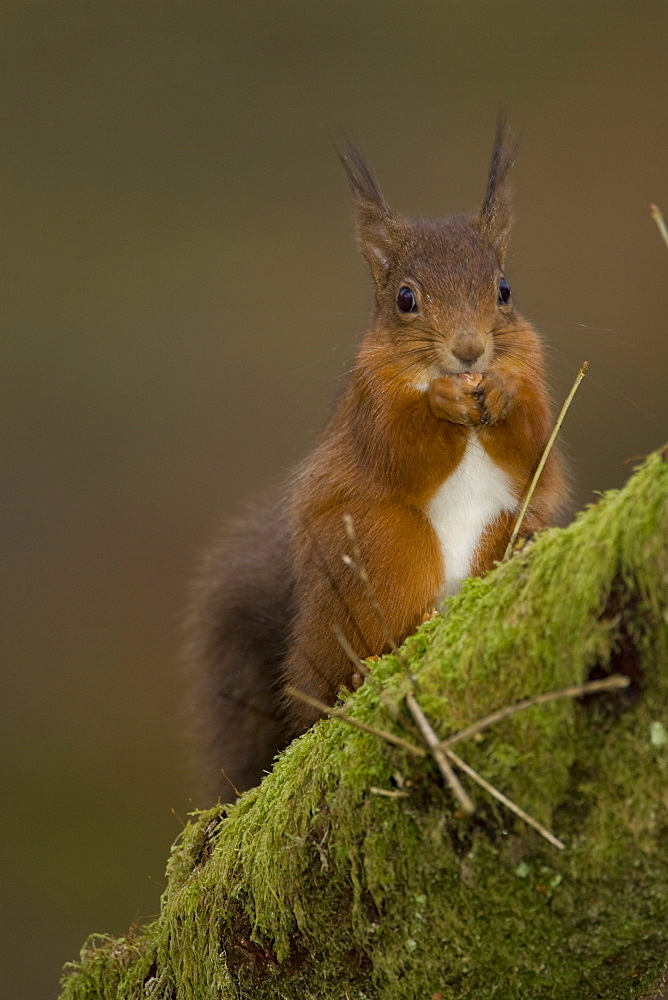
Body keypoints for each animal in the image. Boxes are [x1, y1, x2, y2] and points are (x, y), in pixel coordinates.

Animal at [185, 123, 568, 796]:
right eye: (405, 299)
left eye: (504, 290)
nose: (470, 351)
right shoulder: (370, 411)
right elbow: (400, 453)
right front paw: (440, 402)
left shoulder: (537, 381)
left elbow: (535, 450)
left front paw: (502, 393)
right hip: (383, 550)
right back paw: (358, 678)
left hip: (493, 534)